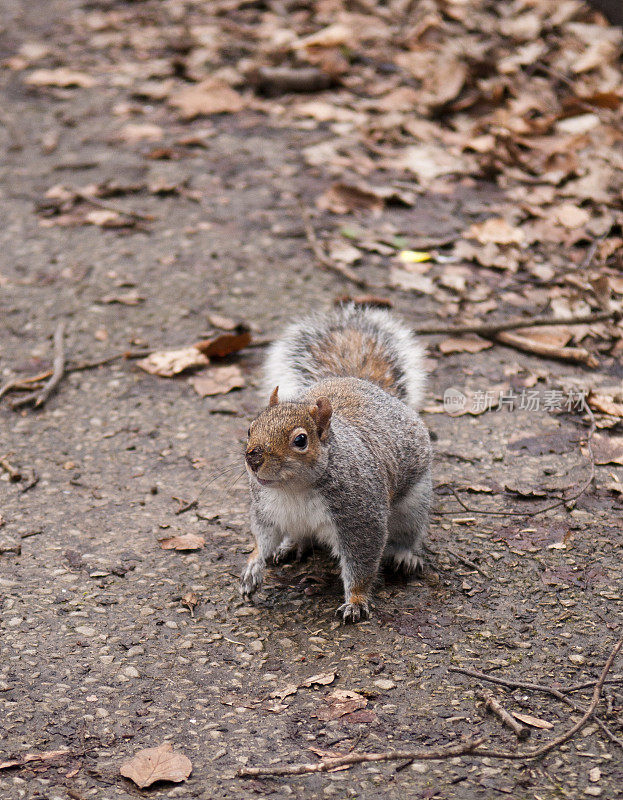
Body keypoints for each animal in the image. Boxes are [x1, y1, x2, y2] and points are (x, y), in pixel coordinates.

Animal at [240, 304, 434, 620]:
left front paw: (356, 601)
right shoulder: (266, 509)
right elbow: (263, 537)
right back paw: (290, 545)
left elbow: (361, 563)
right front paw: (253, 566)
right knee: (300, 536)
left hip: (413, 503)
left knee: (409, 532)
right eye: (250, 428)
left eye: (300, 440)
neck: (294, 489)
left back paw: (405, 556)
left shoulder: (359, 516)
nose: (253, 457)